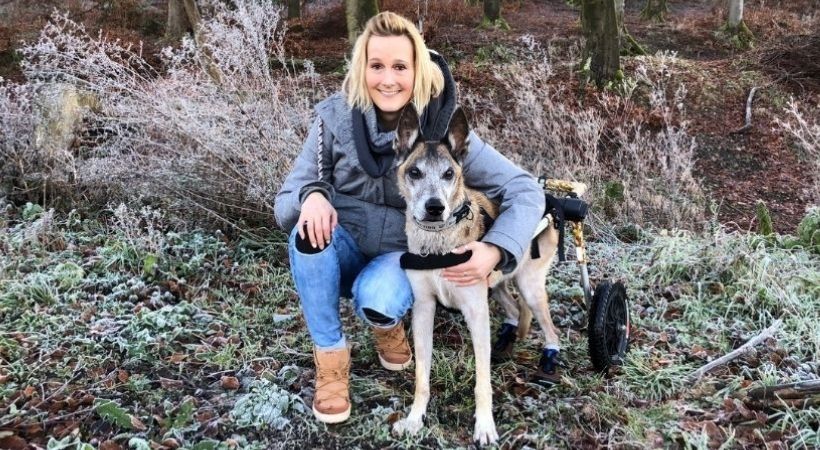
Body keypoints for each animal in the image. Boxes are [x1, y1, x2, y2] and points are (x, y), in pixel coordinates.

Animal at [392, 103, 564, 444]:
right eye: (415, 172)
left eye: (449, 174)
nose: (435, 208)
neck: (438, 243)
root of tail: (549, 204)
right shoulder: (423, 310)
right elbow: (421, 376)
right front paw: (415, 419)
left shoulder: (475, 311)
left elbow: (482, 380)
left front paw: (485, 425)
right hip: (496, 287)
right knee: (514, 310)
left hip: (530, 287)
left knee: (551, 331)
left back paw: (548, 359)